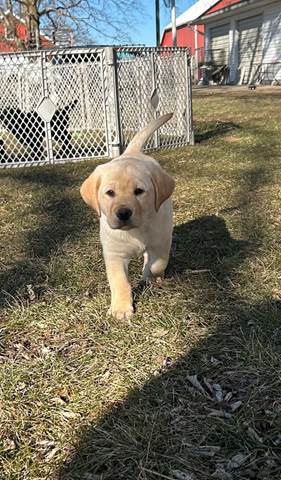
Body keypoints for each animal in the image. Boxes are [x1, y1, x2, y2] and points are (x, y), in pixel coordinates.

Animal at [80, 112, 174, 318]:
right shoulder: (114, 254)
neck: (135, 231)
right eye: (110, 193)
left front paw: (149, 275)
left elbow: (157, 264)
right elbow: (119, 281)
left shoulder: (162, 242)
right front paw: (121, 308)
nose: (123, 213)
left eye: (139, 191)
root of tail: (132, 152)